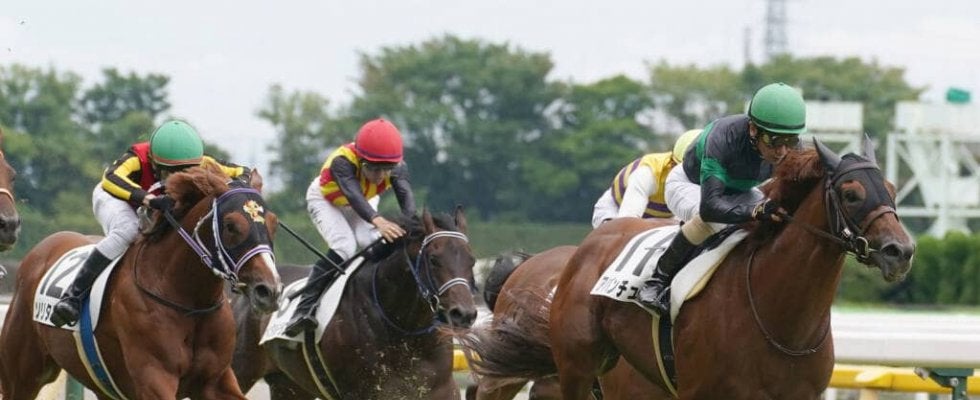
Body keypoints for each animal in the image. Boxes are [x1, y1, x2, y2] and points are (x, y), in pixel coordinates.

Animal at [0, 164, 281, 399]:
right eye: (231, 225)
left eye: (273, 224)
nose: (269, 290)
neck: (188, 299)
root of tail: (45, 247)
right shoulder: (154, 377)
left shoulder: (216, 380)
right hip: (22, 373)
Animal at [233, 206, 478, 399]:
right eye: (434, 259)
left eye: (472, 260)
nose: (464, 314)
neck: (403, 329)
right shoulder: (362, 392)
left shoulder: (441, 389)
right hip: (241, 369)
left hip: (289, 385)